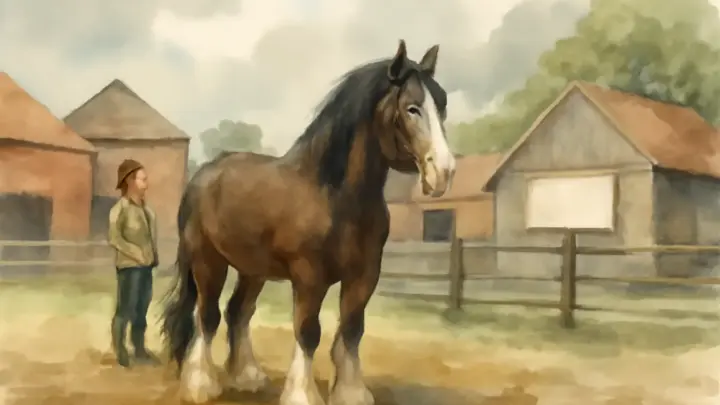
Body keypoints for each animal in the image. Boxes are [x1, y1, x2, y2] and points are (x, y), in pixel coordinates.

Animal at [160, 39, 456, 405]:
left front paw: (351, 392)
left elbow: (352, 329)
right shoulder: (309, 276)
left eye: (442, 105)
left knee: (237, 312)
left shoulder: (364, 275)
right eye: (412, 108)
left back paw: (247, 376)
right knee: (207, 314)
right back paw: (201, 384)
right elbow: (308, 331)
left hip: (252, 270)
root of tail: (202, 176)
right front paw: (302, 394)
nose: (444, 172)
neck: (335, 196)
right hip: (207, 260)